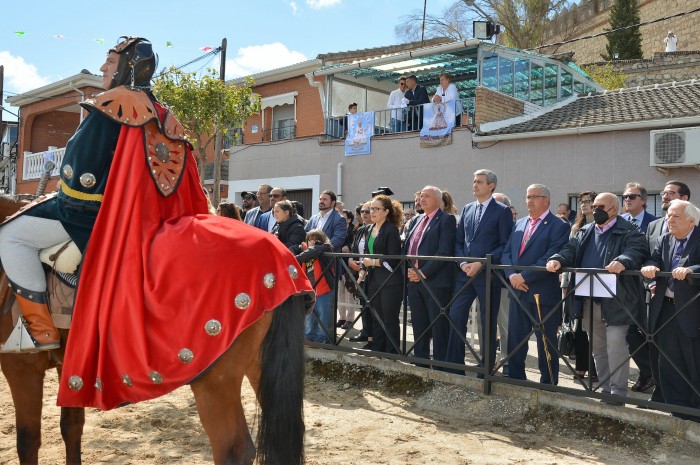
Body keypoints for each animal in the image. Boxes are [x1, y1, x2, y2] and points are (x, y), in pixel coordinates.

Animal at [0, 194, 306, 464]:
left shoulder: (21, 368)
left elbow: (27, 441)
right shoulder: (69, 369)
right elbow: (71, 427)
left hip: (216, 381)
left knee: (234, 451)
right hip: (260, 368)